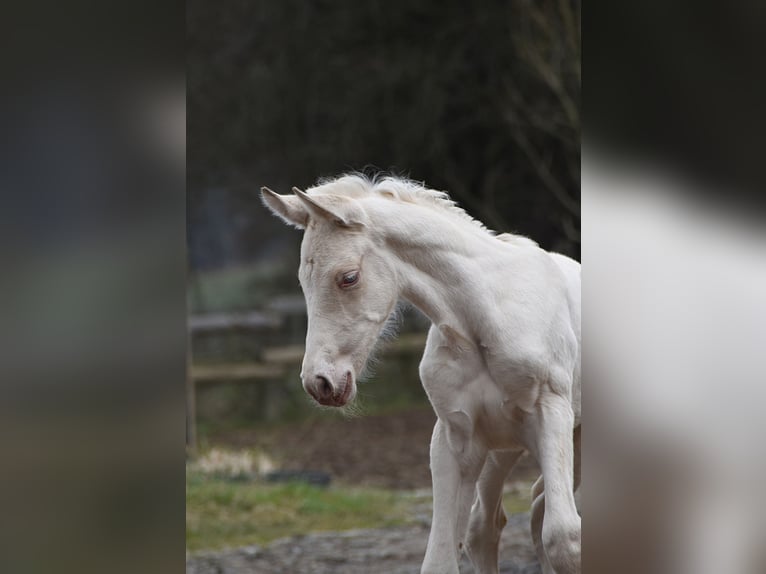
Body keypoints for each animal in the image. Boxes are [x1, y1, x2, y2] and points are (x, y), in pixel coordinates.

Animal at [261, 174, 581, 574]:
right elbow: (442, 558)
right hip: (505, 447)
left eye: (348, 277)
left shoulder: (552, 413)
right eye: (303, 281)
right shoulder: (458, 436)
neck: (485, 316)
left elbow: (564, 538)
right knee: (491, 525)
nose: (320, 382)